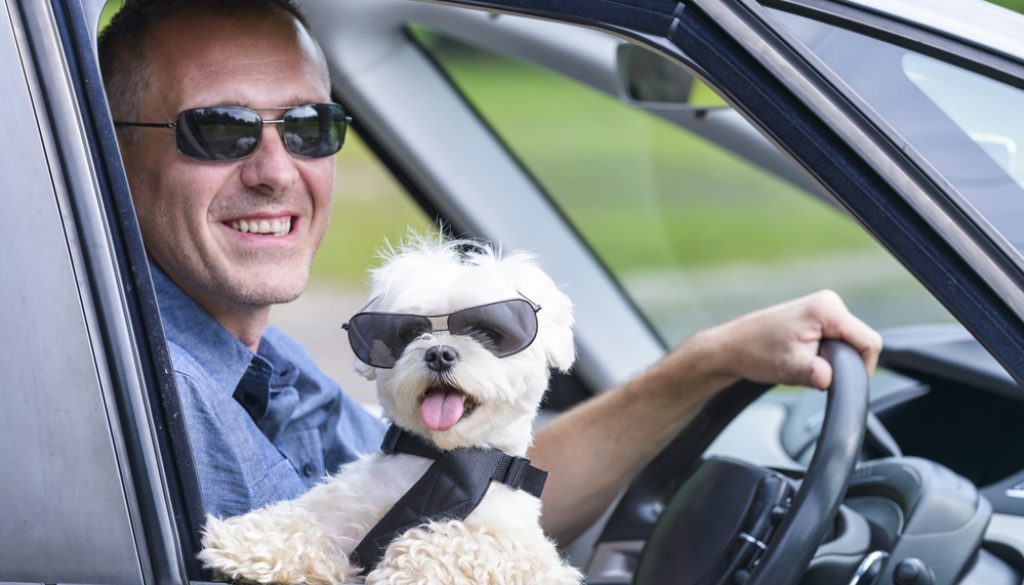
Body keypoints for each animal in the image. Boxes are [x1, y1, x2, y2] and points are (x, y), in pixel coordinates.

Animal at [199, 236, 585, 585]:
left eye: (486, 331)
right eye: (410, 332)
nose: (439, 353)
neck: (438, 458)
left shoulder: (526, 553)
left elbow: (463, 541)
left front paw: (408, 566)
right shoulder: (351, 507)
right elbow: (310, 518)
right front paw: (252, 540)